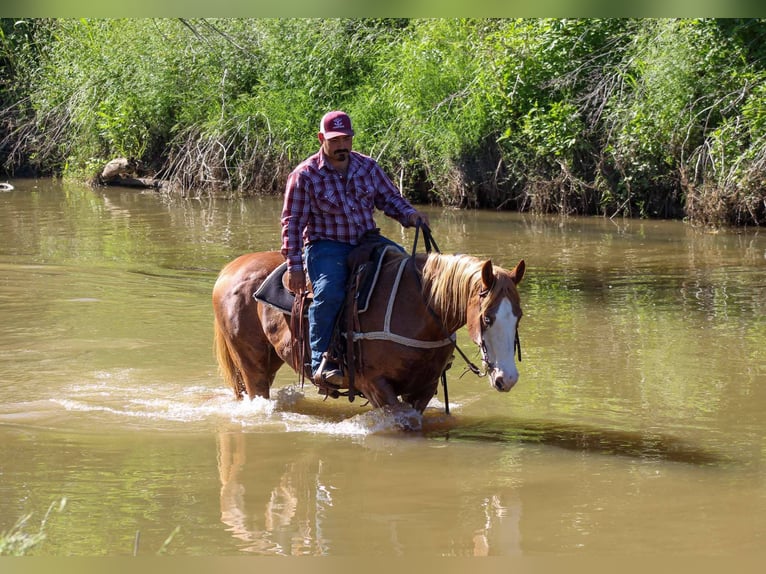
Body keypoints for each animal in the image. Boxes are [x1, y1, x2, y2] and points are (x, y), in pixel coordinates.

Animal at [212, 248, 525, 414]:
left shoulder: (423, 388)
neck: (418, 308)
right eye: (487, 318)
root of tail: (229, 269)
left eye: (518, 316)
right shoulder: (375, 385)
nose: (507, 379)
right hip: (251, 363)